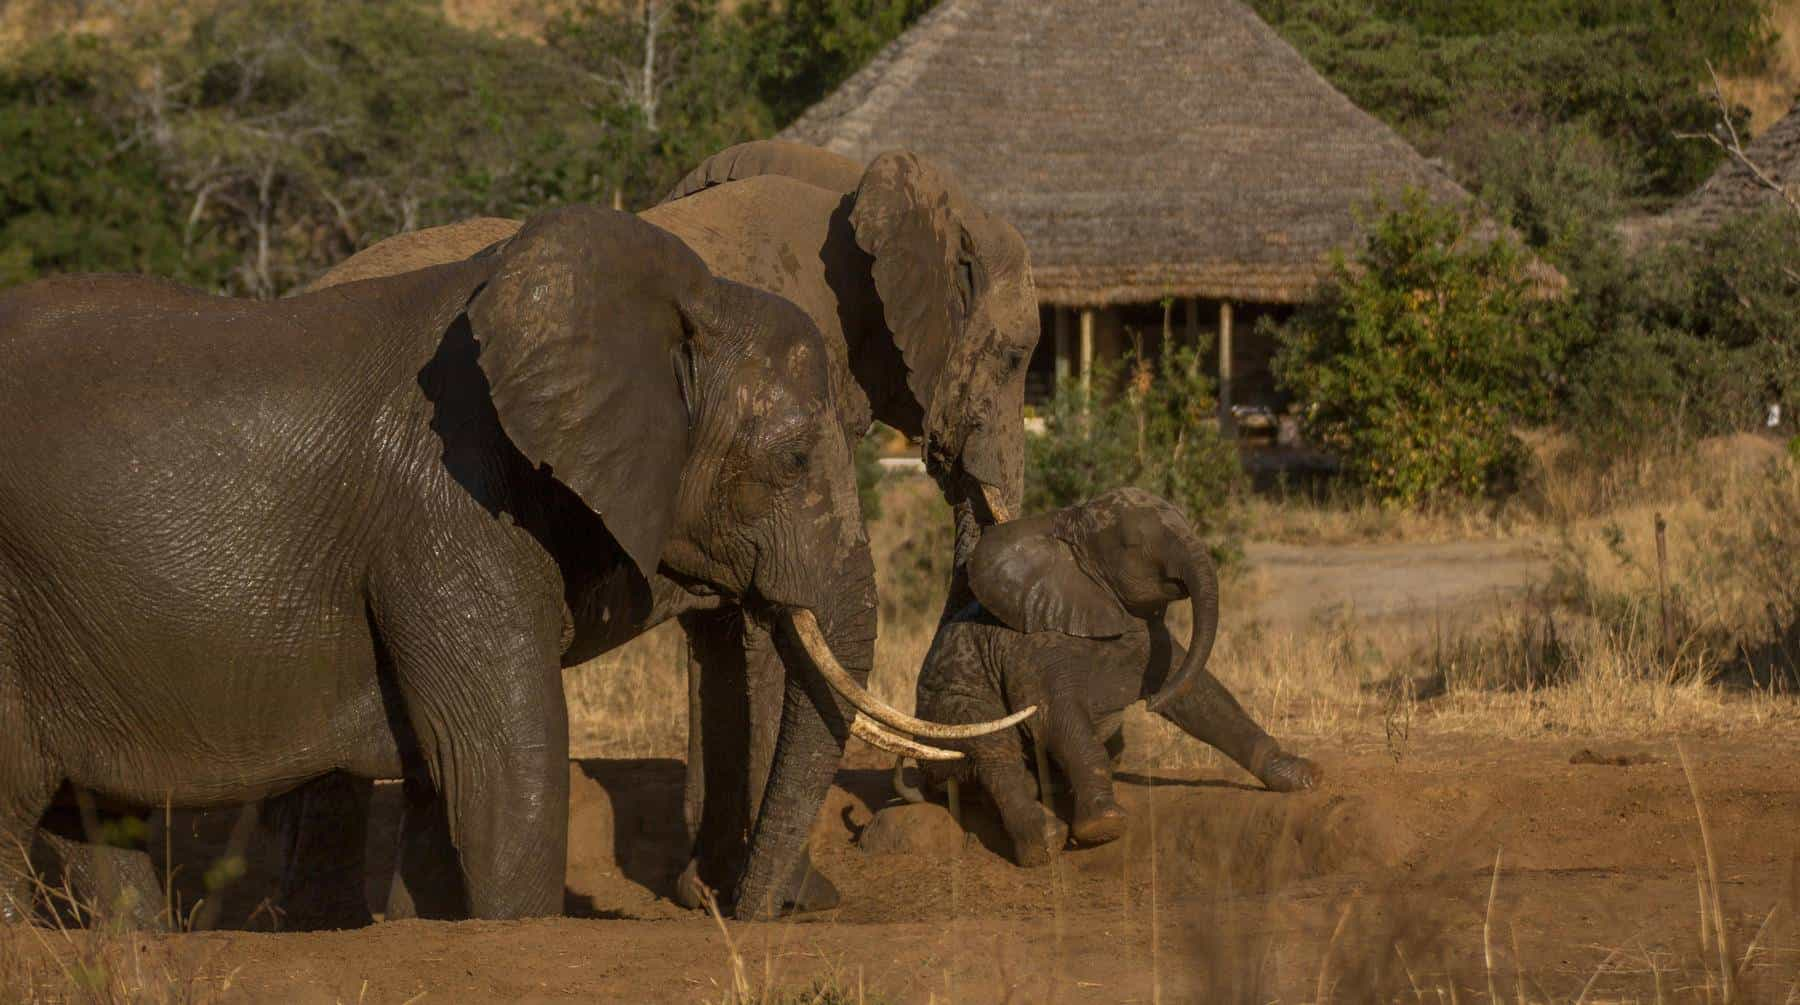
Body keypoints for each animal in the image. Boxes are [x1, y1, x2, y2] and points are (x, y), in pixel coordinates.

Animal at [0, 208, 1015, 936]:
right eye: (797, 459)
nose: (748, 916)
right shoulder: (447, 510)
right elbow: (504, 766)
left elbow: (443, 785)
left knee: (95, 828)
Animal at [295, 139, 1044, 922]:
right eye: (1015, 358)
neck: (852, 184)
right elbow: (777, 633)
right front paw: (794, 900)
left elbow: (725, 637)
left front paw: (708, 892)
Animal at [907, 489, 1317, 868]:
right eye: (1132, 544)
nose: (1149, 706)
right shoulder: (1031, 646)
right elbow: (1053, 717)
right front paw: (1104, 825)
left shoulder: (1146, 637)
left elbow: (1204, 699)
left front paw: (1303, 777)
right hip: (947, 709)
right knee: (993, 746)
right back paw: (1044, 843)